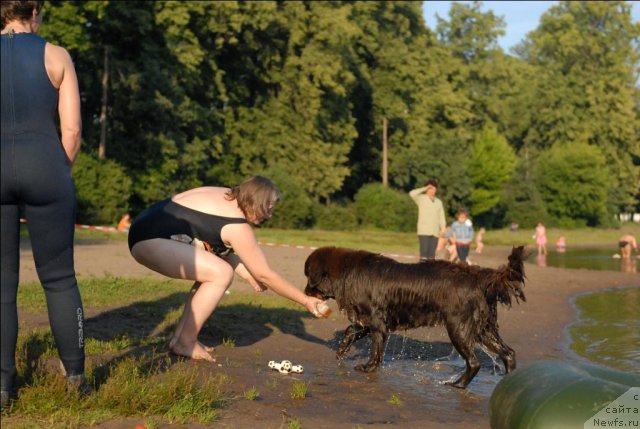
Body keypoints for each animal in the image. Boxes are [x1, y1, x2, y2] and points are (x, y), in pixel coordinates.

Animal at [304, 244, 524, 388]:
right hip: (484, 328)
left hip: (458, 328)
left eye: (308, 276)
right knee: (509, 353)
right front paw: (342, 349)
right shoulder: (375, 321)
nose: (305, 291)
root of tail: (477, 276)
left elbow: (375, 351)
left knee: (474, 362)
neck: (348, 272)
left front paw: (368, 367)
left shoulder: (377, 321)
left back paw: (458, 385)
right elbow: (352, 329)